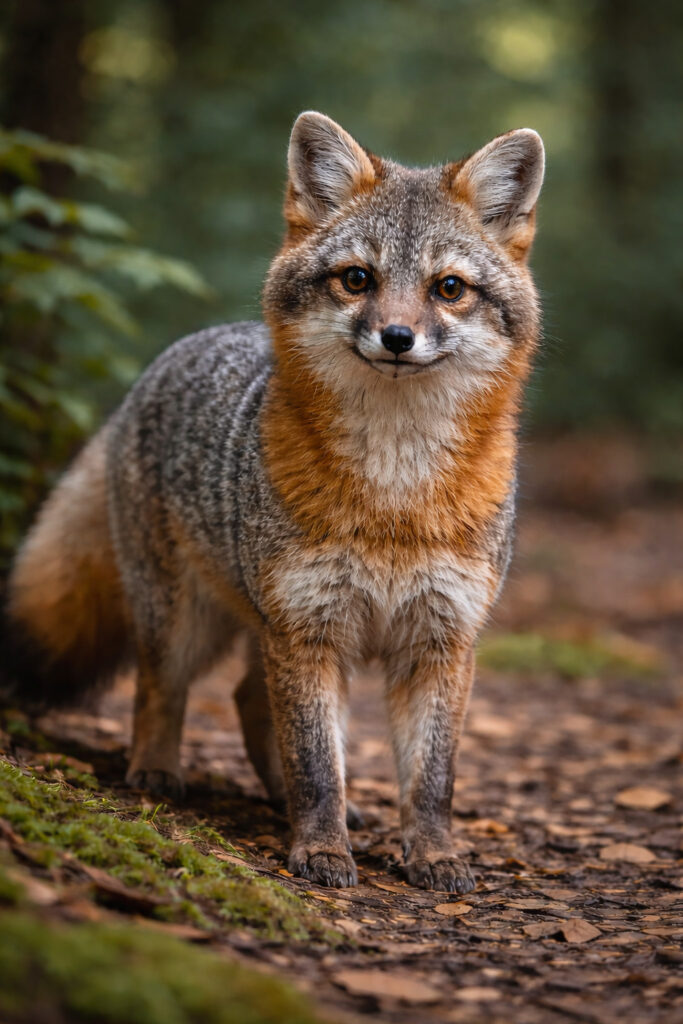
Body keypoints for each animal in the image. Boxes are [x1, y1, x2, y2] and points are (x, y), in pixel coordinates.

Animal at [4, 112, 544, 892]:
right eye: (357, 279)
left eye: (448, 288)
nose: (397, 337)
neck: (395, 499)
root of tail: (172, 355)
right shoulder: (307, 628)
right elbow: (316, 763)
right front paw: (319, 849)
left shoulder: (440, 640)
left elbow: (432, 777)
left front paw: (434, 853)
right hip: (185, 621)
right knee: (159, 689)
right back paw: (156, 770)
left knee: (245, 701)